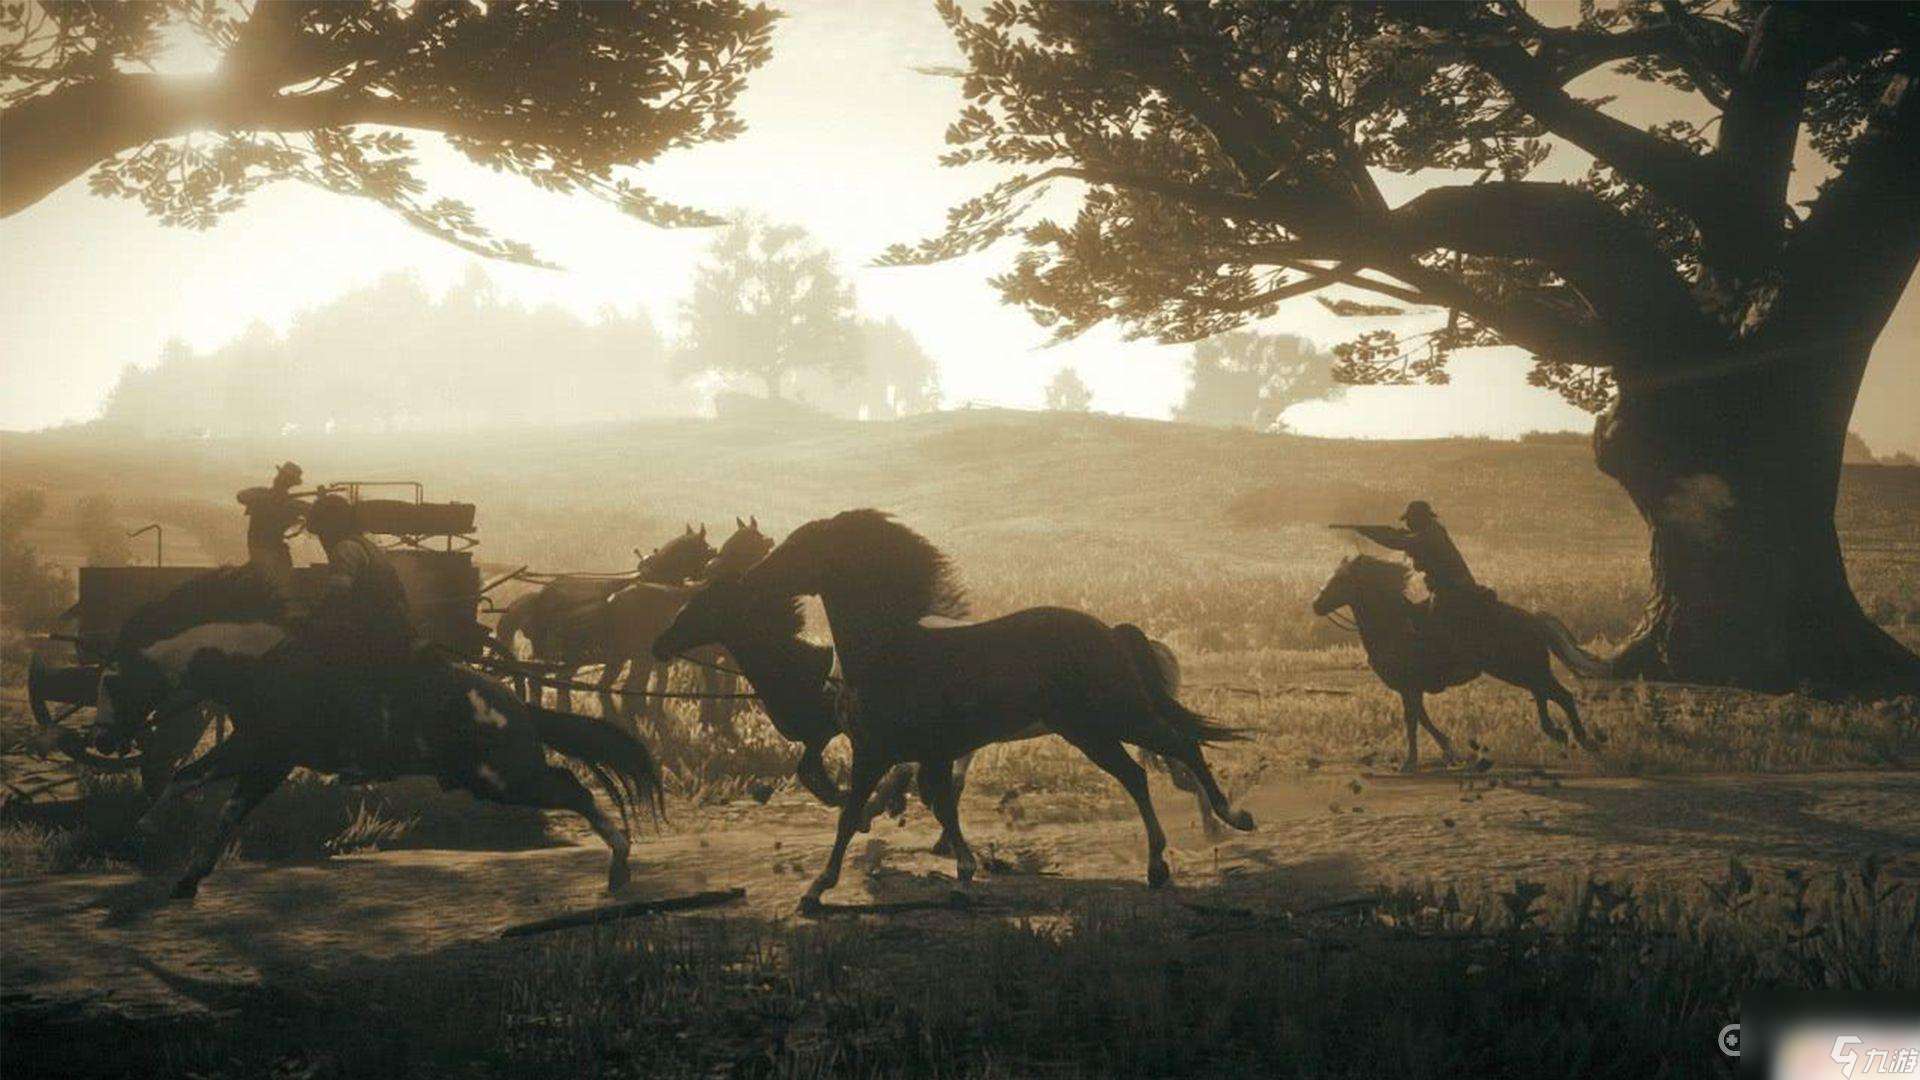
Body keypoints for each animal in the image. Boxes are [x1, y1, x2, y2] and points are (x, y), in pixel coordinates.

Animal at [93, 568, 664, 895]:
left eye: (111, 679)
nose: (101, 739)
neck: (264, 663)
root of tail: (515, 705)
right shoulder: (248, 746)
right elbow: (188, 782)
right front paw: (154, 845)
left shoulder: (268, 756)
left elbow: (224, 805)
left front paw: (176, 862)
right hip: (494, 779)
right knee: (572, 785)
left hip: (502, 778)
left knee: (574, 787)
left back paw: (620, 863)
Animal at [725, 507, 1251, 903]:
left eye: (802, 546)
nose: (749, 582)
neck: (890, 653)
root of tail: (1108, 632)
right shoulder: (926, 753)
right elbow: (935, 804)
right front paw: (963, 866)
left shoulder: (876, 753)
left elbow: (853, 813)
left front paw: (816, 889)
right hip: (1089, 730)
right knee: (1138, 774)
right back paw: (1158, 865)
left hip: (1115, 715)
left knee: (1180, 746)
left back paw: (1232, 818)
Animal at [1313, 549, 1612, 768]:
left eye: (1341, 580)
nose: (1316, 605)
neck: (1395, 626)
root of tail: (1534, 620)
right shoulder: (1411, 689)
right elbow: (1421, 718)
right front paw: (1447, 750)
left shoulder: (1410, 686)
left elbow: (1412, 721)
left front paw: (1411, 762)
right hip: (1522, 670)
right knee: (1544, 694)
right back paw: (1557, 732)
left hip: (1521, 669)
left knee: (1562, 696)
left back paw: (1584, 741)